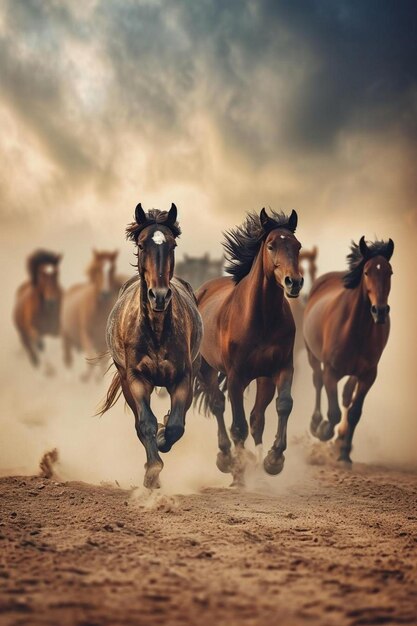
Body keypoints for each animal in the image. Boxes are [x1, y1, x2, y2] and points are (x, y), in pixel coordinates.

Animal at [60, 249, 122, 380]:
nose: (105, 294)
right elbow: (91, 358)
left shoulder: (103, 343)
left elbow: (101, 362)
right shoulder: (86, 336)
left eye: (113, 269)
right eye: (98, 268)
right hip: (66, 335)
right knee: (68, 357)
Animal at [97, 204, 202, 488]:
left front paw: (164, 435)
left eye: (172, 245)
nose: (160, 296)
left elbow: (176, 425)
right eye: (142, 245)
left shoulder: (183, 378)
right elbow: (146, 423)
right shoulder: (135, 378)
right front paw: (152, 473)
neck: (156, 331)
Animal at [193, 207, 304, 480]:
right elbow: (238, 426)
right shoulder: (236, 377)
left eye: (297, 246)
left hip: (263, 378)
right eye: (271, 246)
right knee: (217, 406)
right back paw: (226, 458)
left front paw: (274, 460)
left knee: (256, 418)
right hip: (207, 369)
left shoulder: (282, 369)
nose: (294, 282)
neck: (261, 318)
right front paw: (239, 470)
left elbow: (283, 406)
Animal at [302, 236, 394, 460]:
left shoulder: (368, 375)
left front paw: (344, 453)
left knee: (346, 395)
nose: (380, 311)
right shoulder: (331, 372)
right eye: (367, 272)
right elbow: (333, 412)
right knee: (317, 380)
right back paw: (316, 423)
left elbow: (354, 413)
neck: (354, 330)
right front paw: (324, 431)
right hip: (312, 354)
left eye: (390, 272)